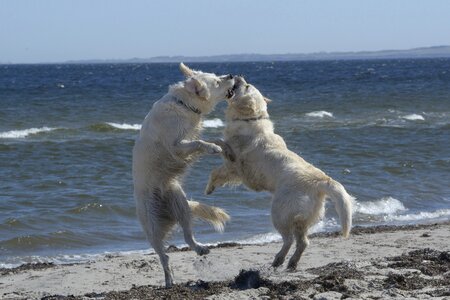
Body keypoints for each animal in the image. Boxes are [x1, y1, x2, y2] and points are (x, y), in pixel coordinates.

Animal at [133, 62, 236, 286]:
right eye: (217, 81)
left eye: (218, 75)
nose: (232, 74)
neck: (184, 105)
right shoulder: (176, 145)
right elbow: (199, 142)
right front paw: (213, 149)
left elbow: (213, 139)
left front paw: (226, 149)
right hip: (152, 226)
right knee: (164, 256)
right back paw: (169, 280)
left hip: (181, 204)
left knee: (188, 237)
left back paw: (201, 249)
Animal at [206, 77, 354, 270]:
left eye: (246, 86)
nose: (237, 75)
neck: (250, 120)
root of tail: (321, 181)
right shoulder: (234, 171)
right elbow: (217, 168)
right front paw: (210, 187)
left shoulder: (234, 164)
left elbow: (219, 144)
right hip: (301, 219)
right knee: (303, 242)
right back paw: (291, 262)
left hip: (279, 212)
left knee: (289, 239)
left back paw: (279, 259)